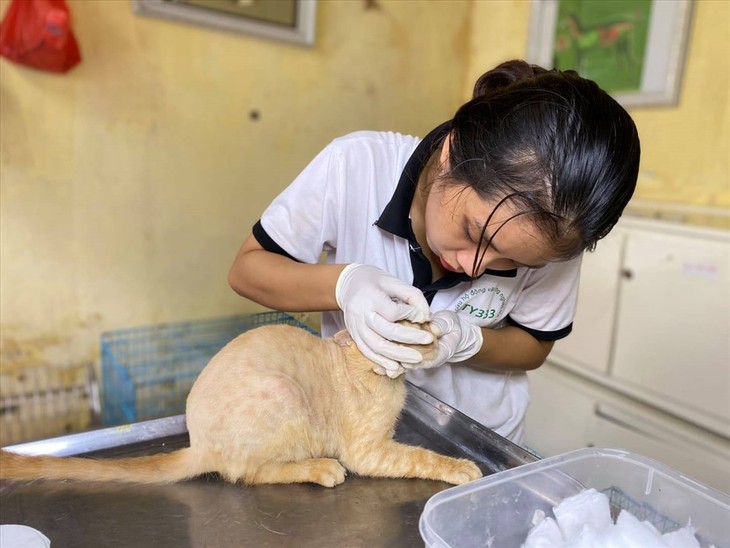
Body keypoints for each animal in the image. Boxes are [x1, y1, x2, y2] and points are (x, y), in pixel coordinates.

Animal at [1, 324, 484, 486]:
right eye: (405, 327)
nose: (436, 333)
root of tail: (199, 444)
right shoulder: (367, 451)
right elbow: (421, 456)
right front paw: (462, 467)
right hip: (282, 394)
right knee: (251, 475)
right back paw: (321, 469)